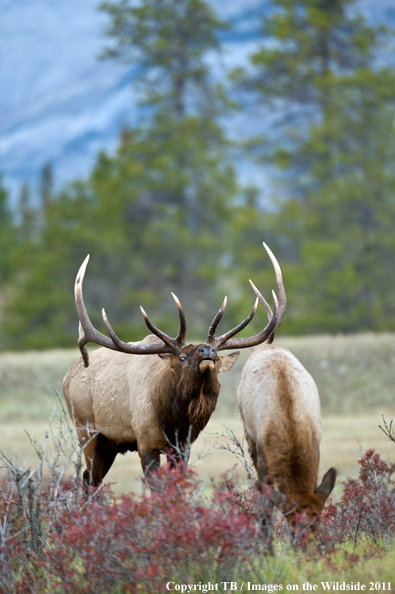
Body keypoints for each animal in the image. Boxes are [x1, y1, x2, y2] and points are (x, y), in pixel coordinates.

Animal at [63, 240, 286, 490]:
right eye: (181, 357)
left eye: (218, 357)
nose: (207, 351)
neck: (174, 422)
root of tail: (67, 377)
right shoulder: (145, 440)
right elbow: (156, 488)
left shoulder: (183, 447)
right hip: (86, 430)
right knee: (90, 478)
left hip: (109, 443)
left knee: (89, 478)